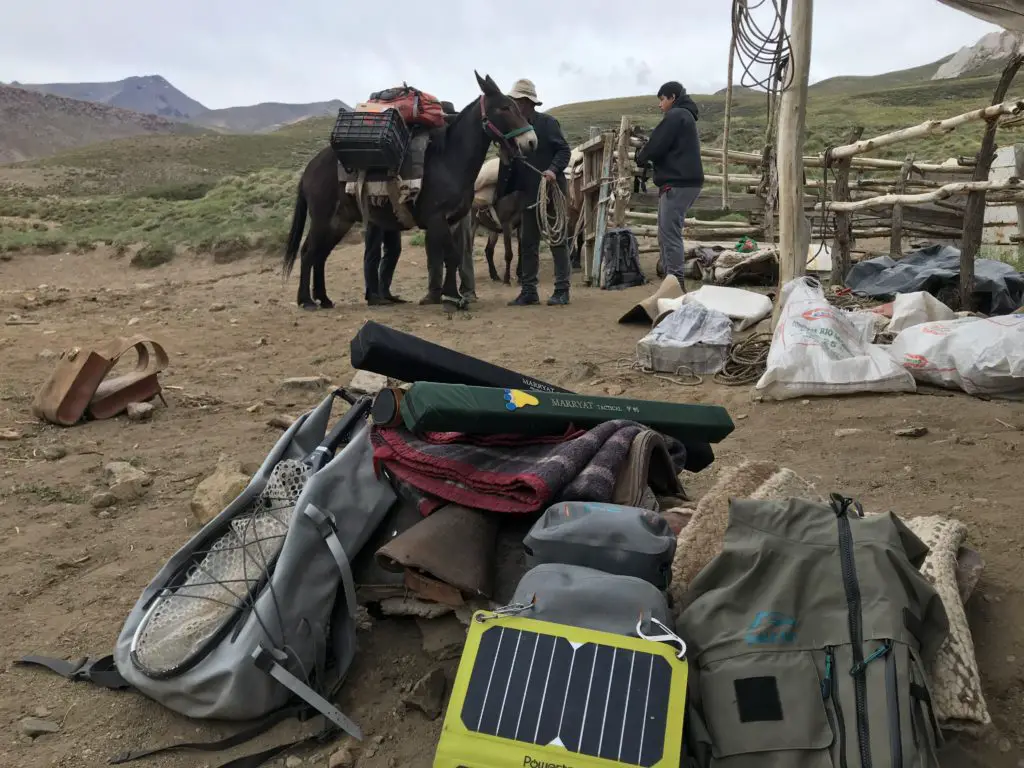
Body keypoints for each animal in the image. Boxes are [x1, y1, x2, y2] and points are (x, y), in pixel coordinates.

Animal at [280, 72, 536, 313]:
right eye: (505, 107)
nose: (531, 141)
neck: (448, 160)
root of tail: (310, 167)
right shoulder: (438, 219)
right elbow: (450, 256)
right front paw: (452, 298)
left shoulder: (453, 220)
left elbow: (451, 259)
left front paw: (451, 295)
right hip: (323, 218)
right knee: (308, 252)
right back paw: (307, 300)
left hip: (340, 221)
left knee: (321, 255)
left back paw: (324, 299)